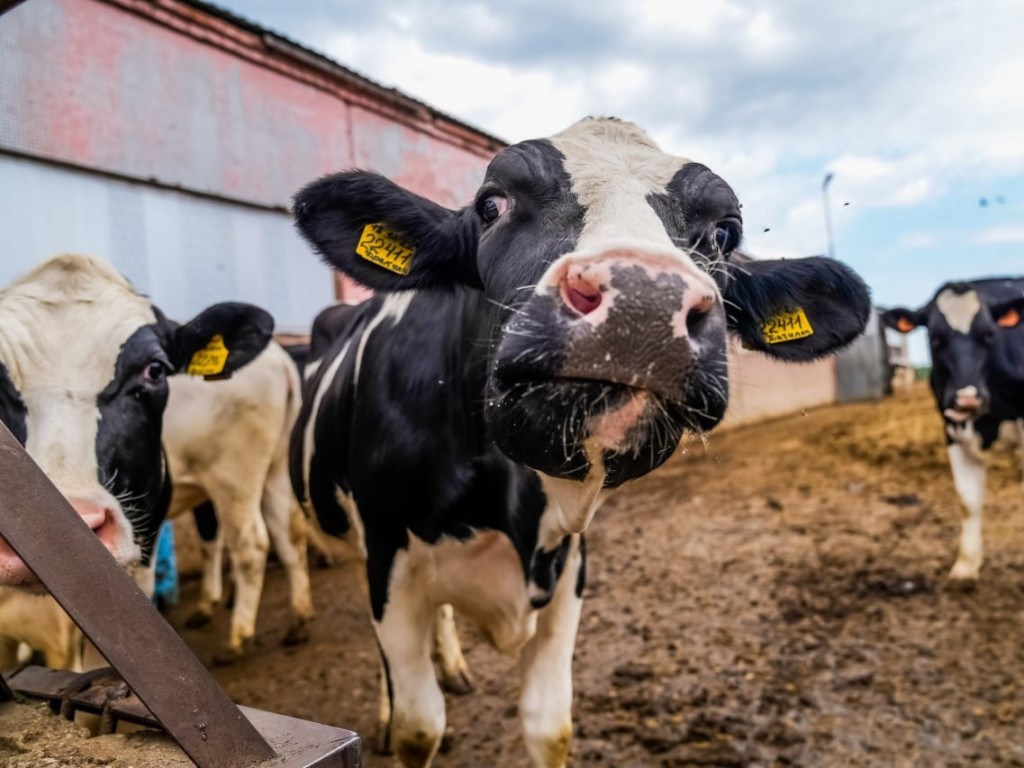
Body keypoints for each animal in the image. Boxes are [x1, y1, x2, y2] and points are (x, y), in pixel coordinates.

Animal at [290, 115, 872, 768]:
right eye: (492, 203)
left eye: (725, 233)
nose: (645, 302)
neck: (511, 504)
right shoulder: (390, 558)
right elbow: (420, 726)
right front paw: (401, 717)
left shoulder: (569, 566)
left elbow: (551, 725)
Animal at [880, 278, 1024, 581]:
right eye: (935, 338)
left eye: (988, 335)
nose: (967, 398)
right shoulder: (952, 431)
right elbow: (967, 500)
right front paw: (966, 566)